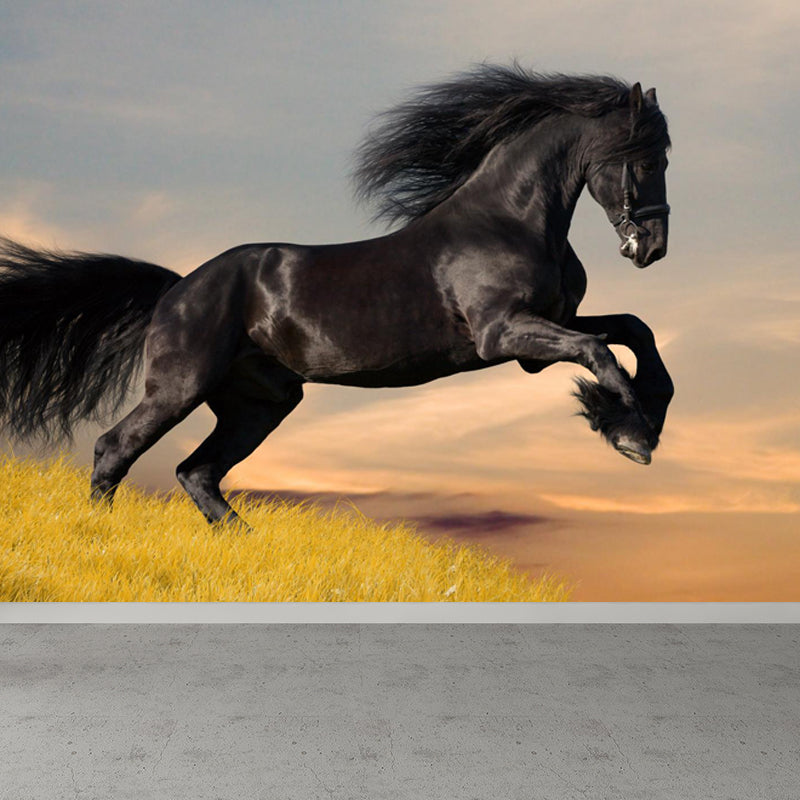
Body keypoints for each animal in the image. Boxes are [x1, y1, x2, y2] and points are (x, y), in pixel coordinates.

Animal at [0, 64, 673, 526]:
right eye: (644, 160)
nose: (653, 247)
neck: (507, 220)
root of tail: (178, 288)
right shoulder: (503, 333)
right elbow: (600, 351)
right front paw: (630, 436)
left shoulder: (547, 329)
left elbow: (634, 331)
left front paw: (643, 420)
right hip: (180, 386)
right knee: (116, 449)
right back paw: (99, 533)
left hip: (260, 402)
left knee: (198, 472)